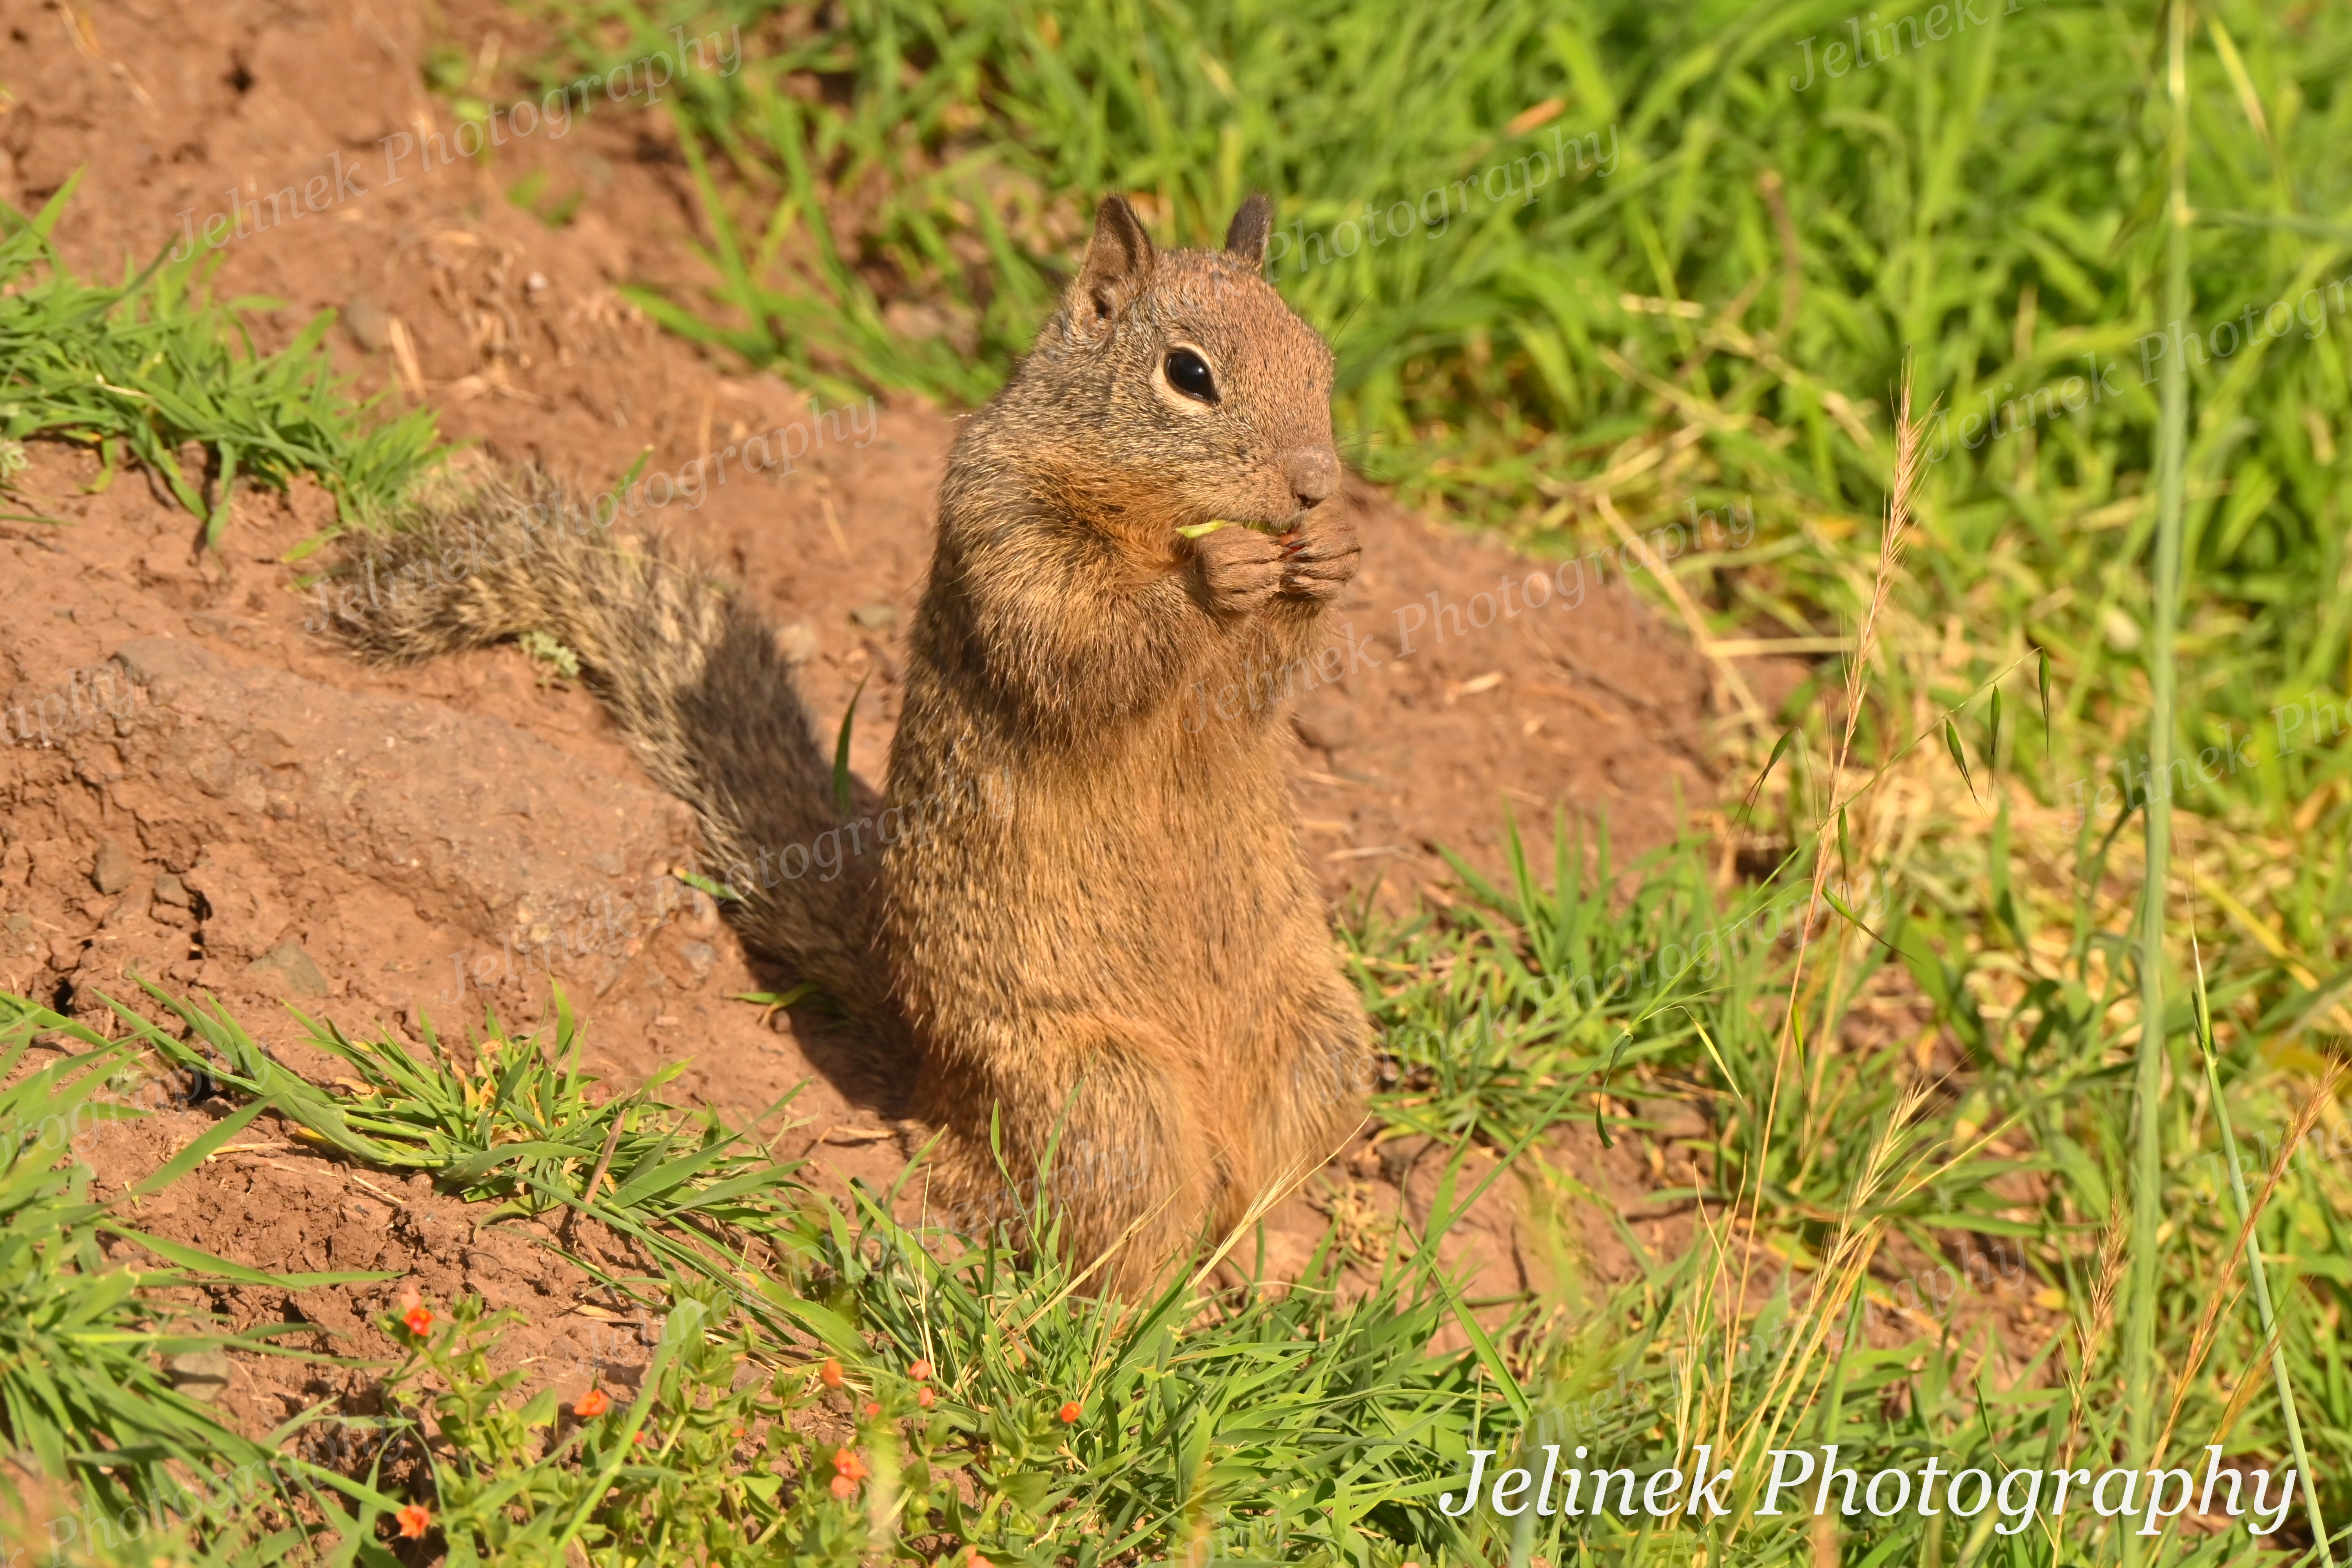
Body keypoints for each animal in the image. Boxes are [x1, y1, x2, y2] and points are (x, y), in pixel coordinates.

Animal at [328, 193, 1374, 1290]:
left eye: (1319, 358)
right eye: (1188, 374)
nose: (1316, 484)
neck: (1153, 523)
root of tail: (923, 1058)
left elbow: (1256, 688)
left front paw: (1331, 556)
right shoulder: (1007, 535)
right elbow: (1079, 657)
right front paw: (1216, 576)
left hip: (1321, 1047)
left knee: (1252, 1189)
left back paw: (1268, 1270)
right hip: (1105, 1096)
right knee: (1100, 1231)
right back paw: (1138, 1308)